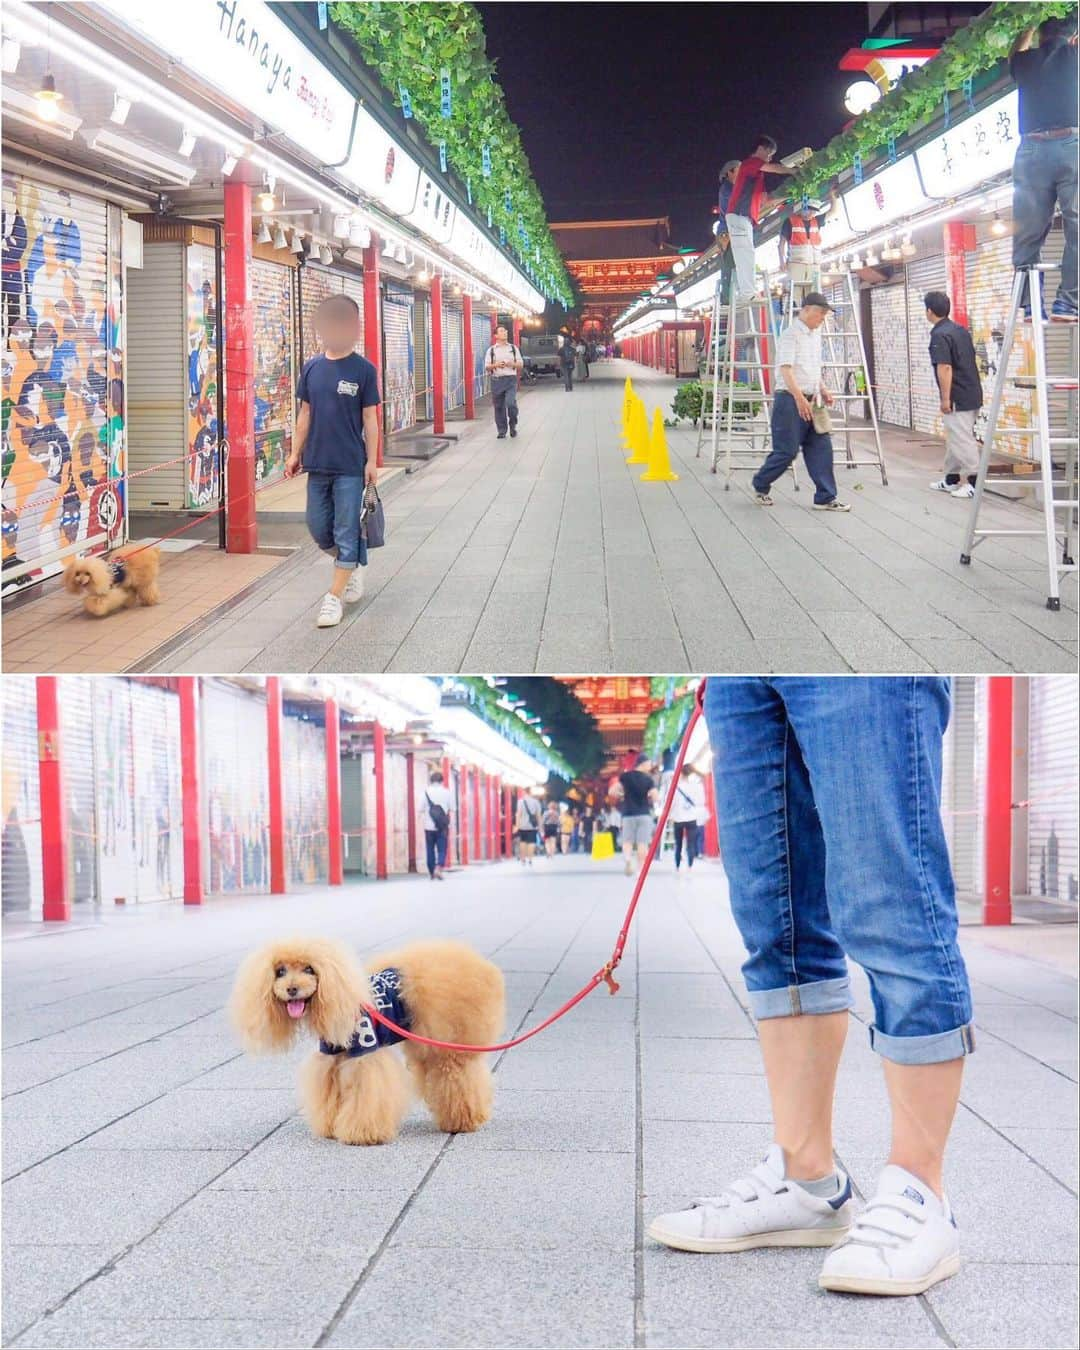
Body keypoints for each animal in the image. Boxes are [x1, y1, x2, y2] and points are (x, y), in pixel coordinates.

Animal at [229, 939, 507, 1150]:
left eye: (309, 969)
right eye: (280, 972)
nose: (292, 989)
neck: (334, 1002)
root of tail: (479, 964)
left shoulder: (365, 1052)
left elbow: (366, 1096)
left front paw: (361, 1134)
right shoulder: (332, 1057)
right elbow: (329, 1093)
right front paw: (330, 1127)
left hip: (449, 1041)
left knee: (459, 1076)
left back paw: (465, 1120)